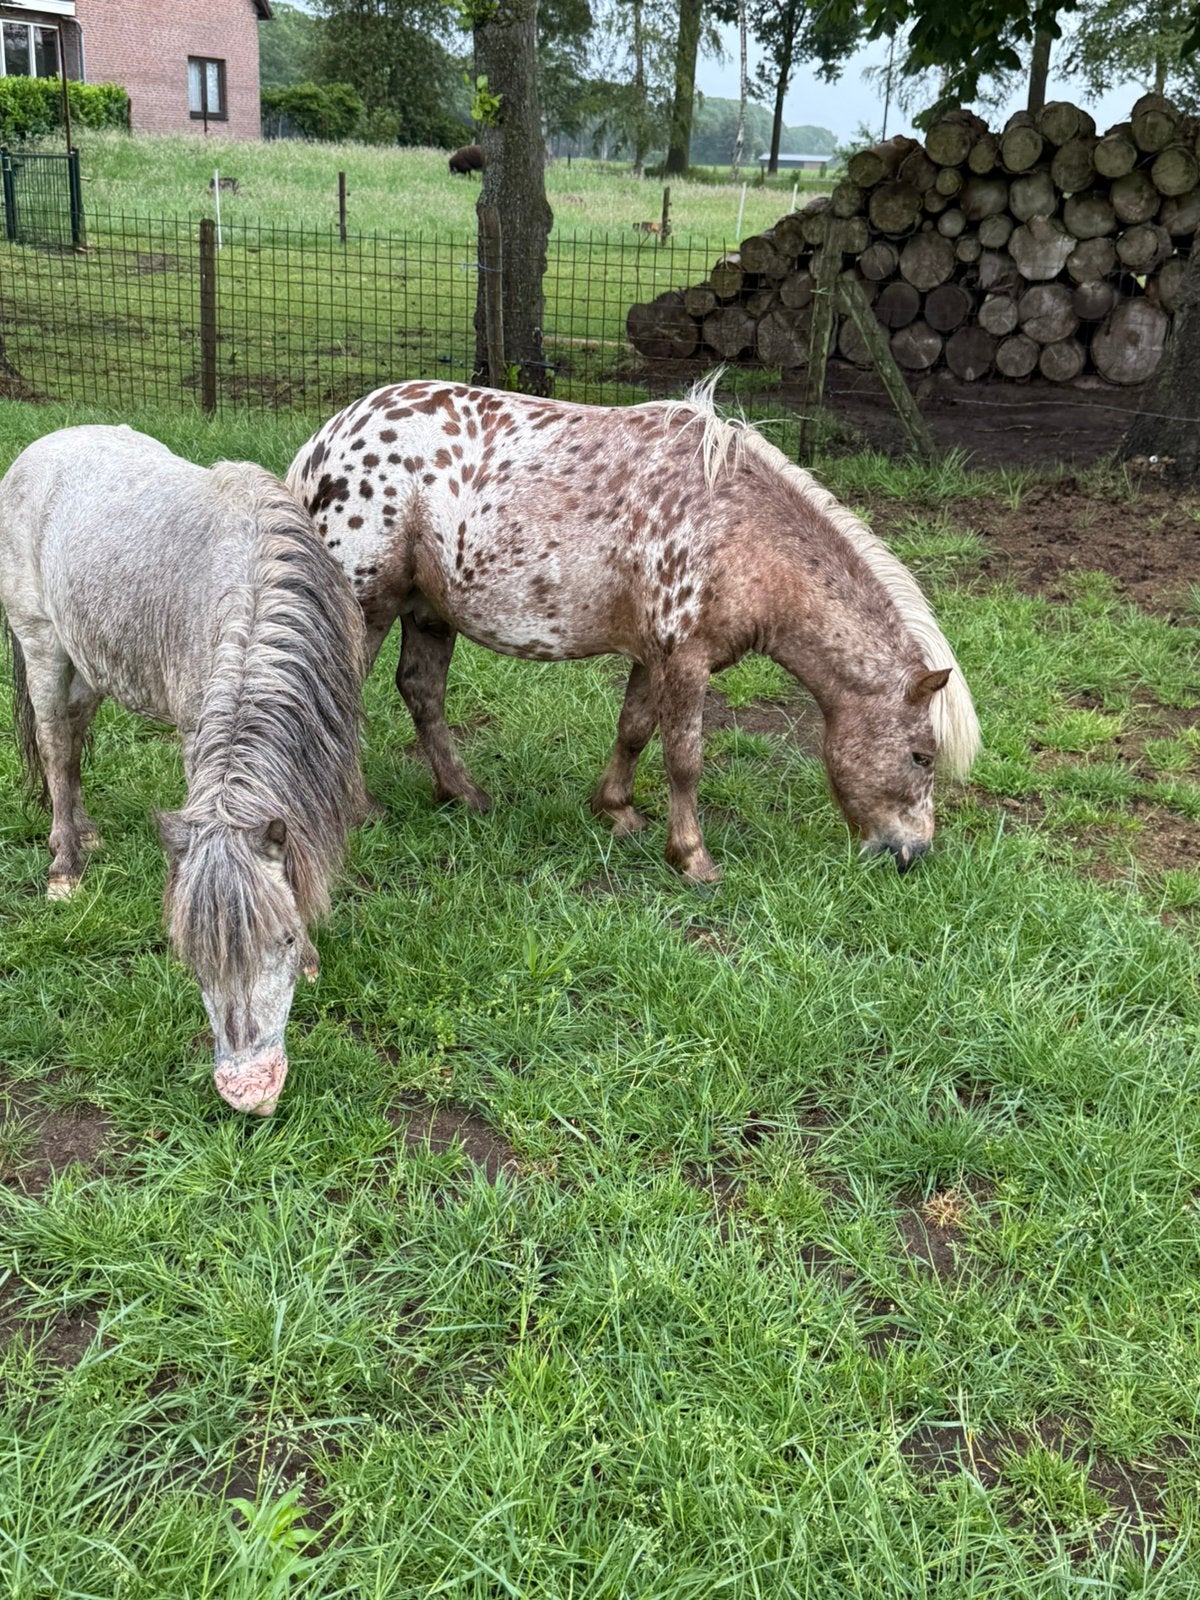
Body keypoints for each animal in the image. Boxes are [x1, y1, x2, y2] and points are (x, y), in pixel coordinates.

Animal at [0, 426, 366, 1115]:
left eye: (282, 940)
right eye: (191, 956)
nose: (250, 1094)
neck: (255, 584)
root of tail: (42, 446)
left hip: (93, 657)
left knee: (76, 735)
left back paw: (87, 834)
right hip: (42, 642)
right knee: (56, 745)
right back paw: (65, 866)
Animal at [286, 377, 980, 882]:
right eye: (922, 756)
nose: (911, 855)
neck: (739, 531)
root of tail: (327, 439)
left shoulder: (655, 657)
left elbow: (634, 731)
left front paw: (616, 812)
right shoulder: (686, 663)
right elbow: (684, 759)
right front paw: (693, 858)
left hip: (428, 611)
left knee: (422, 693)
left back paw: (464, 795)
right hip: (369, 607)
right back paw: (361, 810)